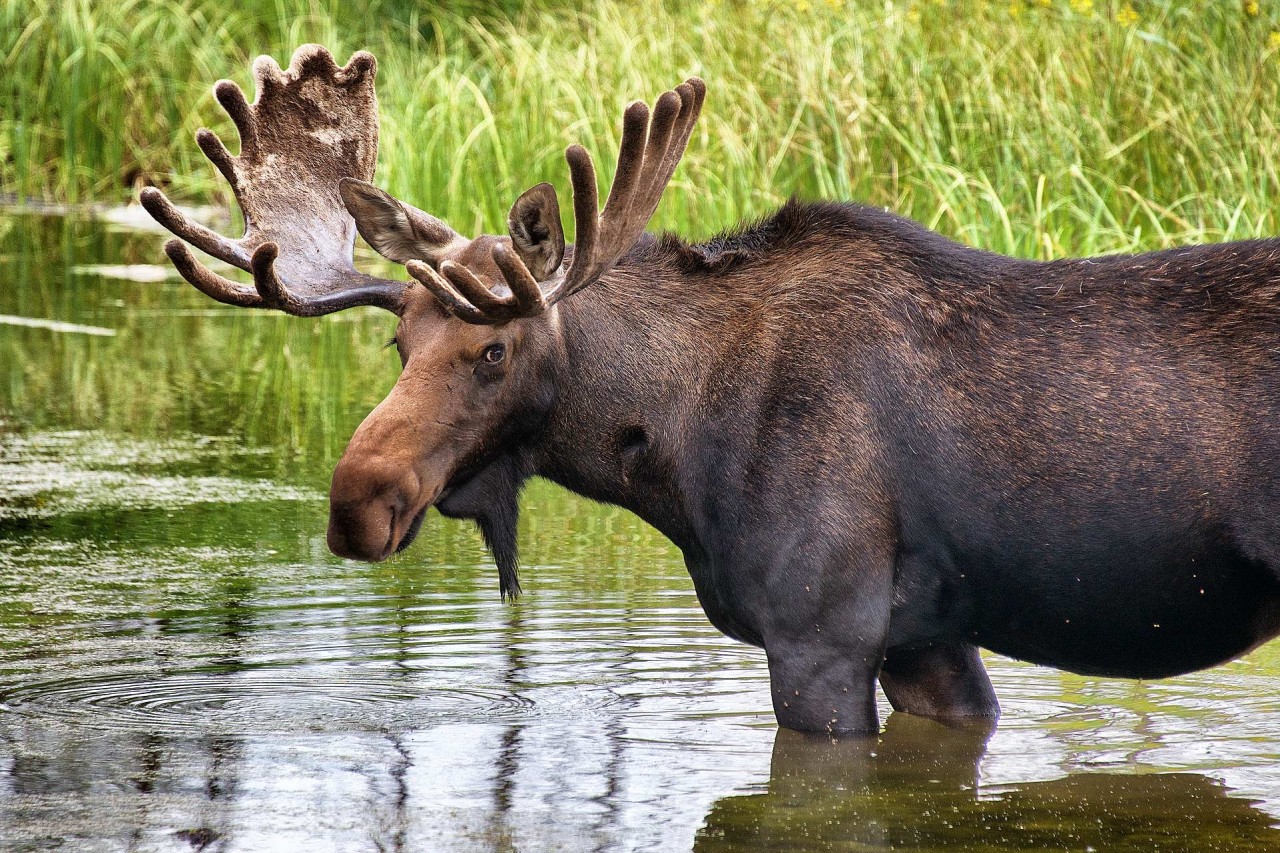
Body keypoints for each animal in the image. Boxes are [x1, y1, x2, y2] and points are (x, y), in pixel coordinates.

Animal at [140, 46, 1280, 732]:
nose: (355, 501)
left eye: (494, 350)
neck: (674, 456)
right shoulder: (927, 638)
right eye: (395, 341)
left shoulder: (821, 633)